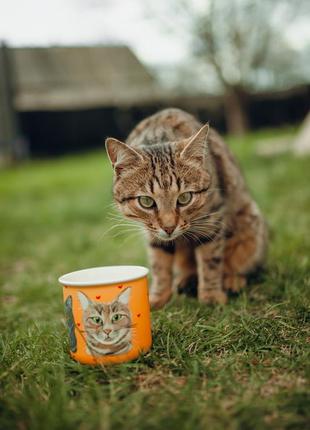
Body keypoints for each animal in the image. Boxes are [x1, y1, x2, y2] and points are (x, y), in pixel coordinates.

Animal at [105, 109, 268, 308]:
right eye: (146, 201)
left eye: (184, 198)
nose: (169, 228)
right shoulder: (153, 236)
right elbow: (159, 266)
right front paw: (157, 298)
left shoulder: (212, 221)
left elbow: (210, 261)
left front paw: (211, 296)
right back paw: (185, 281)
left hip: (250, 226)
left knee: (240, 265)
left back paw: (231, 280)